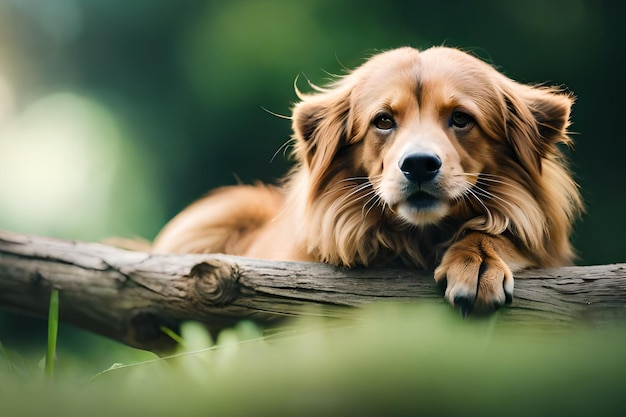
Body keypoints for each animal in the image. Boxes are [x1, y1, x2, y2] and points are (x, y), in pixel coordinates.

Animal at [154, 46, 584, 316]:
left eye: (461, 118)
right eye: (383, 120)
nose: (420, 164)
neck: (418, 239)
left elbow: (499, 230)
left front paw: (478, 258)